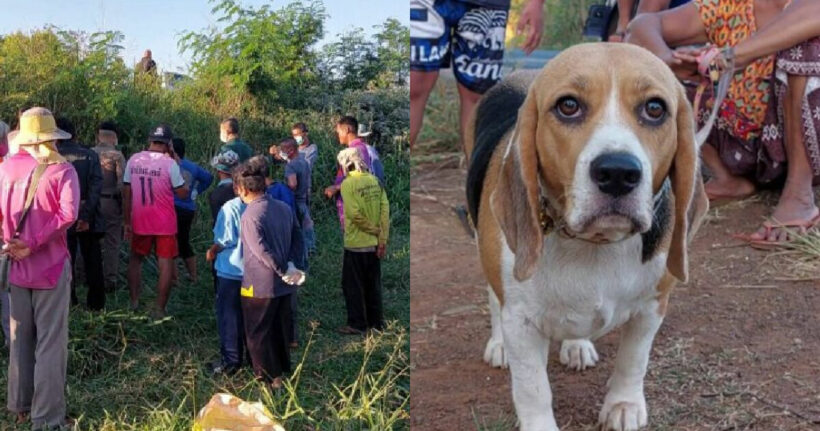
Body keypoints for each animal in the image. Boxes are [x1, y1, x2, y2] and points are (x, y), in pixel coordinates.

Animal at [464, 44, 708, 431]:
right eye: (568, 105)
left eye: (655, 109)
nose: (618, 172)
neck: (595, 244)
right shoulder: (521, 321)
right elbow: (533, 388)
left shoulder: (654, 305)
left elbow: (634, 359)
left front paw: (623, 404)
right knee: (492, 297)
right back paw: (499, 344)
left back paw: (576, 344)